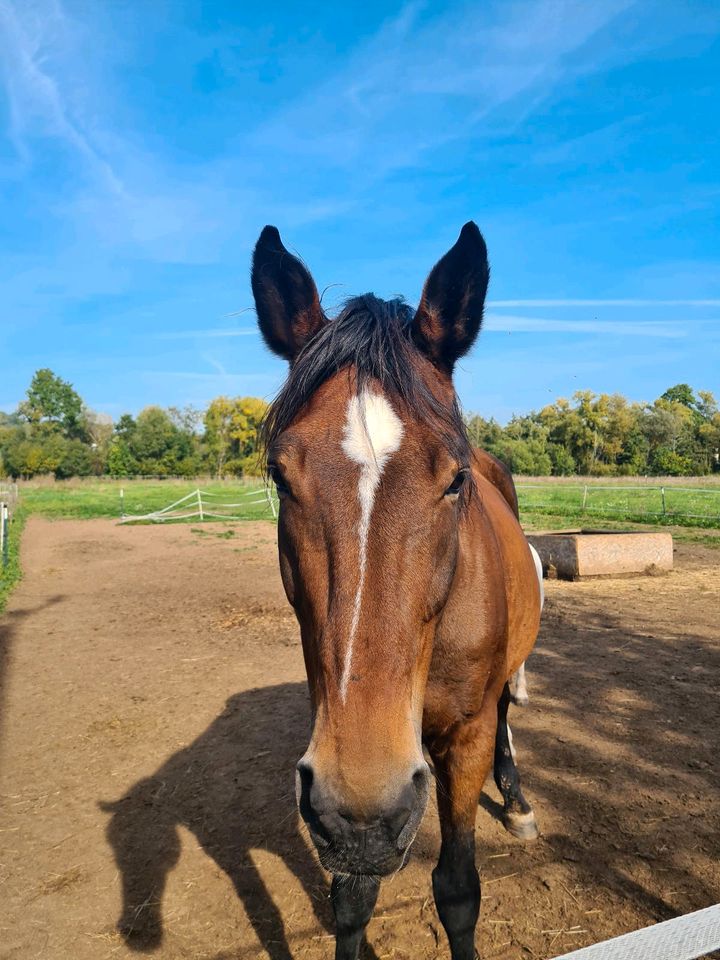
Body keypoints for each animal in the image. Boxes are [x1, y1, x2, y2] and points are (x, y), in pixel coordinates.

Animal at [252, 221, 540, 956]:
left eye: (456, 479)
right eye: (280, 476)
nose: (363, 809)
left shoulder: (464, 740)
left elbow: (458, 891)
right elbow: (351, 901)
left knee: (507, 714)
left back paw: (518, 803)